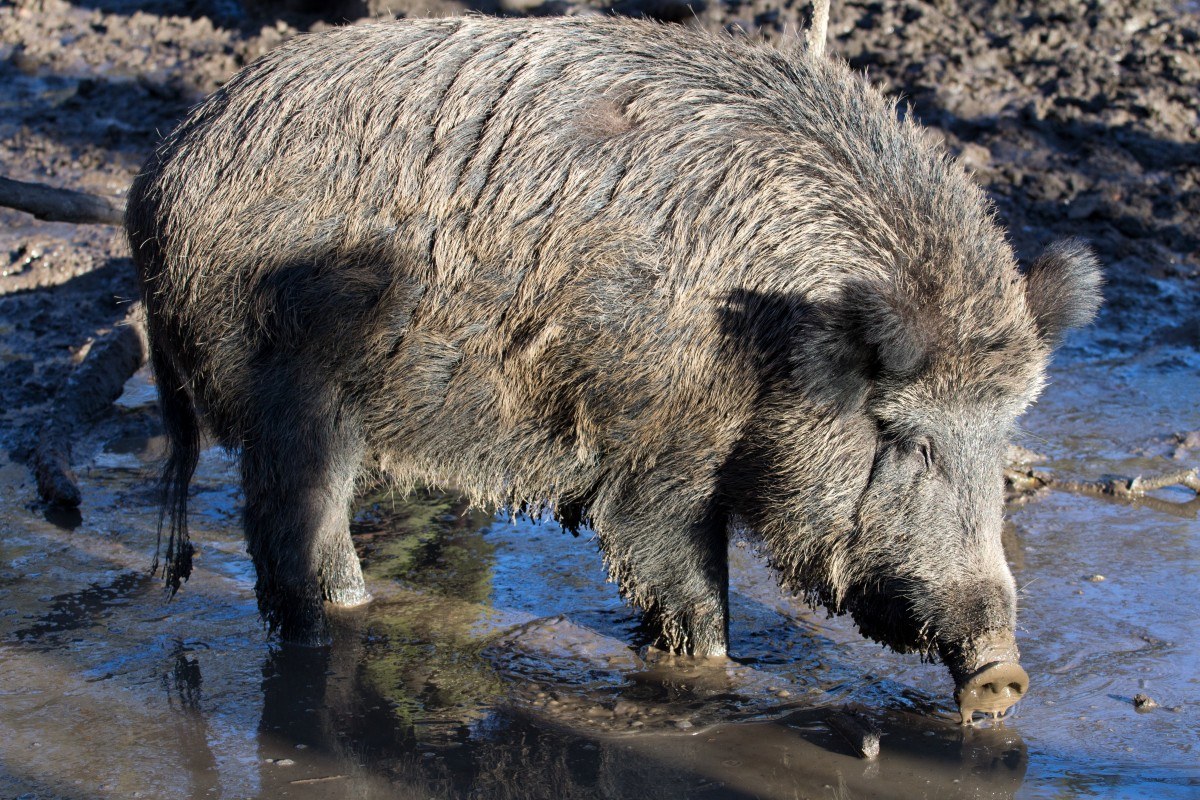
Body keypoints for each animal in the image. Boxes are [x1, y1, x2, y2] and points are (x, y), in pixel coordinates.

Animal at [125, 15, 1101, 720]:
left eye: (1002, 440)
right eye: (909, 440)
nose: (1004, 674)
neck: (776, 339)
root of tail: (161, 169)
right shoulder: (659, 459)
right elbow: (687, 590)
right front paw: (708, 681)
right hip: (290, 397)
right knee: (291, 540)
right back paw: (332, 625)